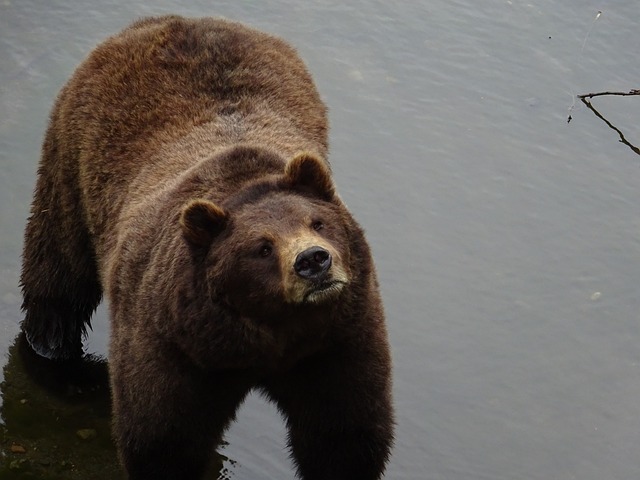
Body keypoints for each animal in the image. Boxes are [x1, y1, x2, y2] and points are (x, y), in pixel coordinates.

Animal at [20, 15, 392, 480]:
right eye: (262, 247)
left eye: (318, 222)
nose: (313, 261)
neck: (266, 334)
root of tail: (167, 20)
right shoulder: (172, 342)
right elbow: (163, 434)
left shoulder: (338, 339)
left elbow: (343, 432)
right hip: (73, 163)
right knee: (59, 268)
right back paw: (55, 354)